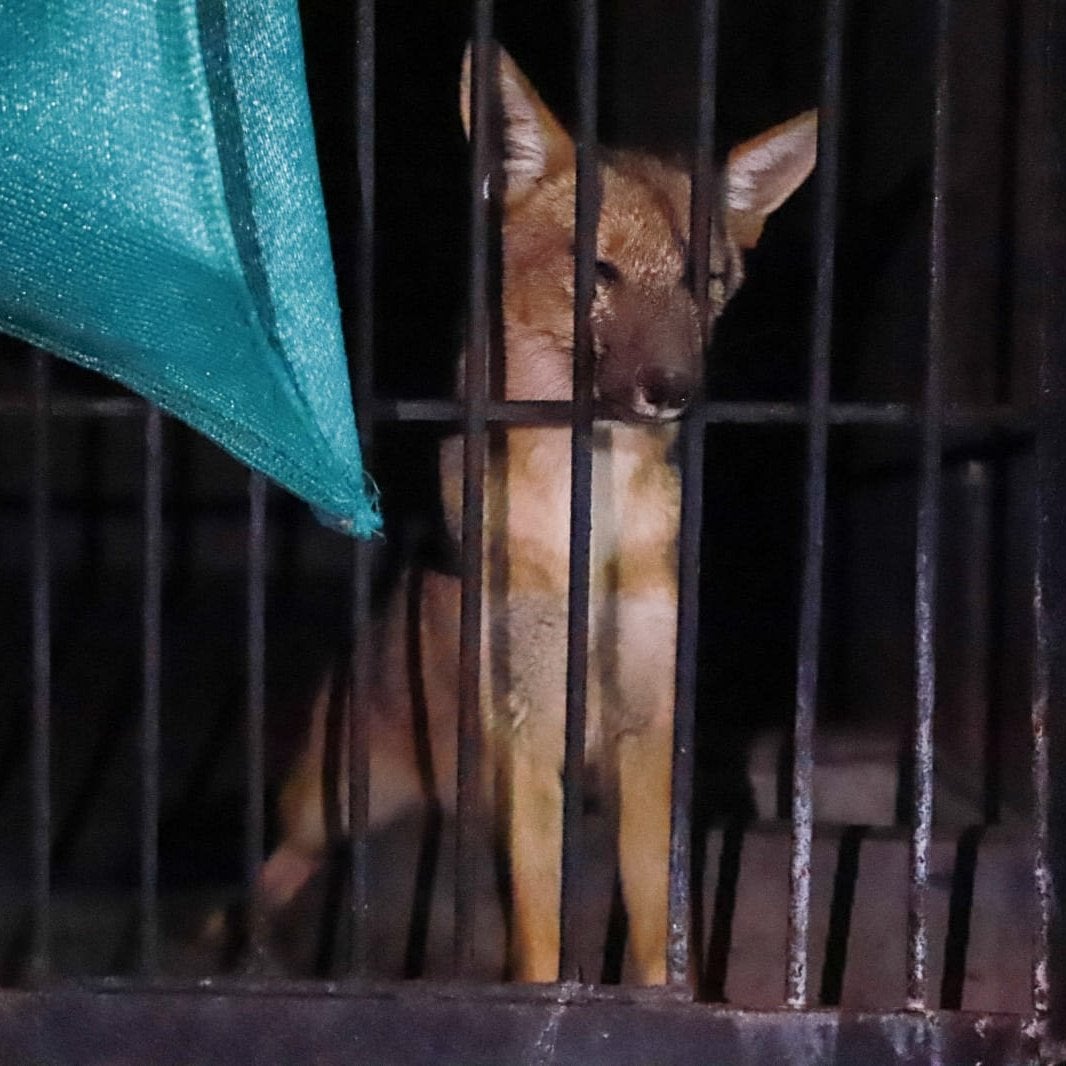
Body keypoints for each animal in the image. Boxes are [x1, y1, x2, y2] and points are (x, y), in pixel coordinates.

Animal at [255, 45, 817, 985]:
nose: (672, 389)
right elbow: (541, 940)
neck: (587, 528)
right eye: (599, 271)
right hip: (330, 808)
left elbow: (657, 930)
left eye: (705, 281)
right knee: (270, 875)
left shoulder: (646, 726)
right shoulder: (525, 731)